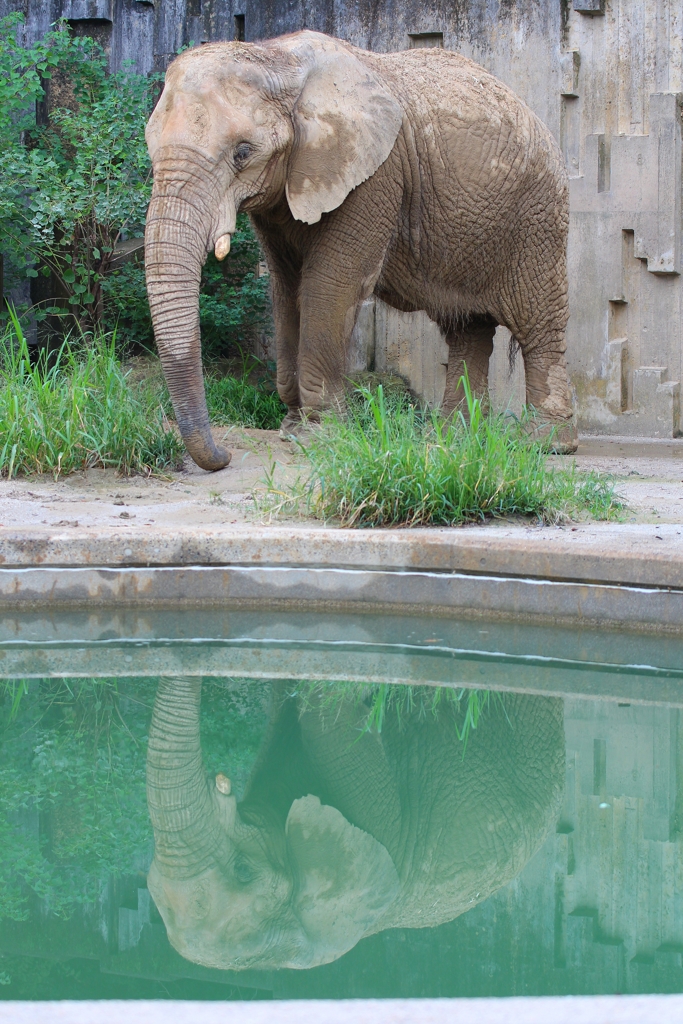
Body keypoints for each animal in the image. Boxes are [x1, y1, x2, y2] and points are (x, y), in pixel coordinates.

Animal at [144, 28, 577, 468]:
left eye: (243, 153)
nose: (225, 454)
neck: (277, 58)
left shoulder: (375, 176)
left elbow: (330, 284)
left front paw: (317, 434)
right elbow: (285, 288)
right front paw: (292, 428)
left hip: (538, 216)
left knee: (537, 323)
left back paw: (545, 444)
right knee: (466, 327)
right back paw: (454, 437)